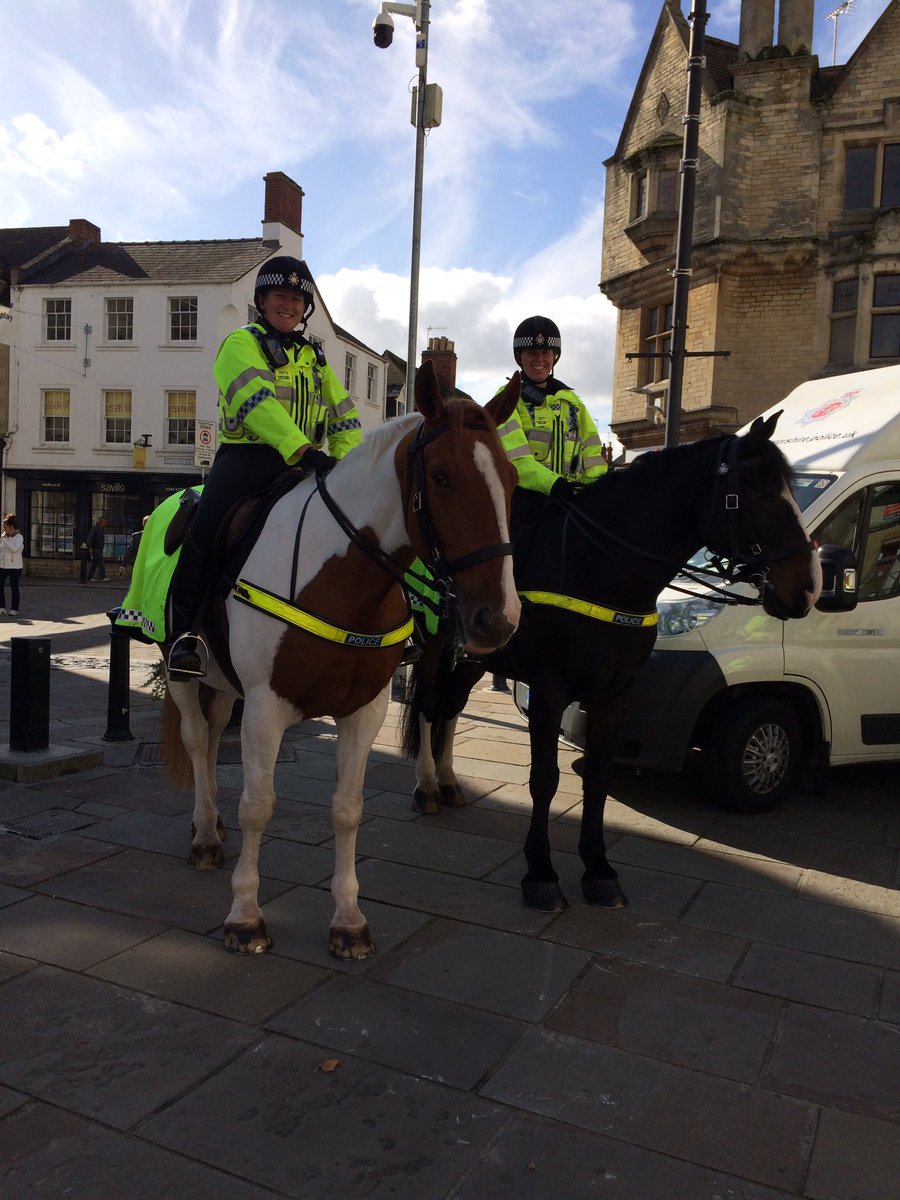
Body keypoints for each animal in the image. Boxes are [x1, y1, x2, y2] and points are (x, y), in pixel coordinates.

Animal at [162, 360, 520, 960]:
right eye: (441, 477)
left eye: (513, 481)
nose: (498, 619)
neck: (343, 579)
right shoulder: (265, 710)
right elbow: (258, 805)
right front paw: (245, 916)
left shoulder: (363, 710)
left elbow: (348, 809)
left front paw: (349, 921)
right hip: (183, 670)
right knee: (194, 738)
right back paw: (207, 835)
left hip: (225, 684)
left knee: (211, 739)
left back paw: (207, 826)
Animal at [400, 412, 825, 907]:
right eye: (761, 492)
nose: (809, 587)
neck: (602, 569)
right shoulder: (550, 690)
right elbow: (544, 778)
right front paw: (540, 872)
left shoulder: (615, 695)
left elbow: (599, 778)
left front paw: (598, 868)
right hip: (433, 646)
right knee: (430, 707)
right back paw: (426, 786)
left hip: (473, 658)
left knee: (450, 708)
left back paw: (449, 782)